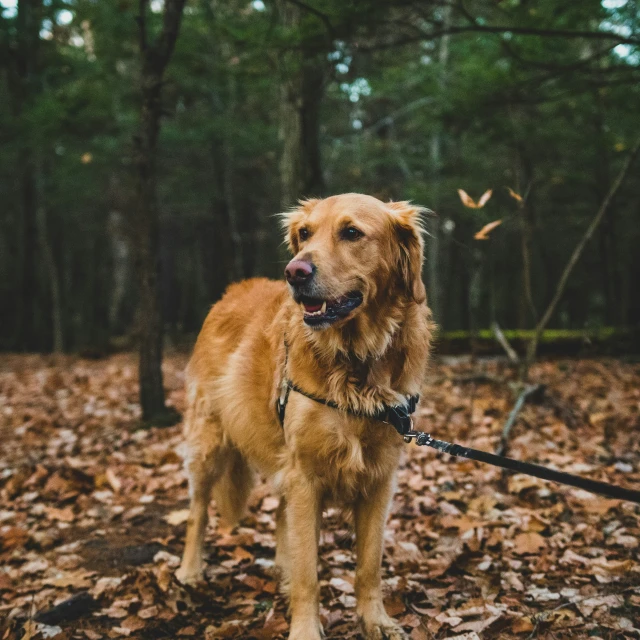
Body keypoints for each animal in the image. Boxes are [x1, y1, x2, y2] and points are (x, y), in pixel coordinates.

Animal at [178, 194, 432, 640]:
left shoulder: (379, 478)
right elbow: (308, 573)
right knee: (198, 510)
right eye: (305, 233)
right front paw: (305, 629)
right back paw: (190, 570)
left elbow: (369, 564)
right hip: (209, 442)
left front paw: (375, 620)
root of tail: (229, 292)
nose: (294, 273)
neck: (356, 364)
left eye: (352, 232)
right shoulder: (305, 476)